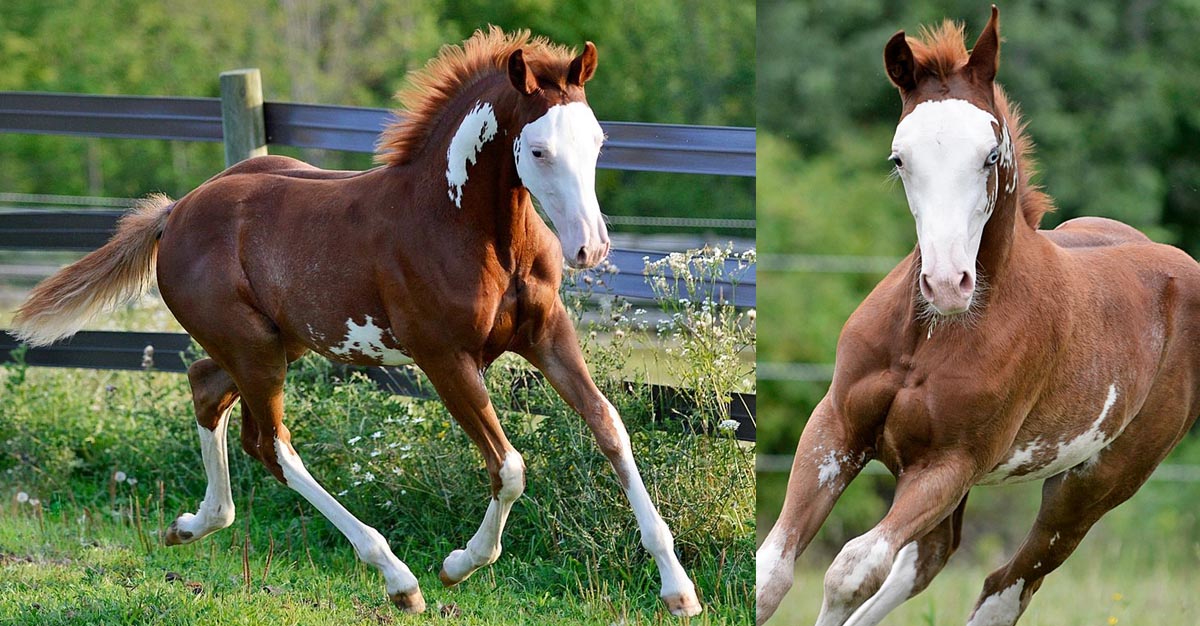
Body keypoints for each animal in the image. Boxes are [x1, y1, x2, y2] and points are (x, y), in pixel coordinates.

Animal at [9, 29, 700, 614]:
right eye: (537, 149)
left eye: (598, 141)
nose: (592, 249)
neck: (461, 225)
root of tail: (175, 211)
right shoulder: (444, 358)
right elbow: (509, 468)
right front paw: (458, 565)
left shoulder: (547, 333)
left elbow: (611, 427)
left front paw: (679, 590)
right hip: (256, 351)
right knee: (271, 444)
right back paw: (397, 577)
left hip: (273, 344)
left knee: (207, 389)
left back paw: (191, 524)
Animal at [758, 6, 1200, 623]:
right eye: (899, 159)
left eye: (990, 156)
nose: (947, 283)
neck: (926, 339)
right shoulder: (836, 428)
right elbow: (771, 573)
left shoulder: (950, 464)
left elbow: (851, 570)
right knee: (930, 559)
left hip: (1094, 485)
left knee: (1005, 585)